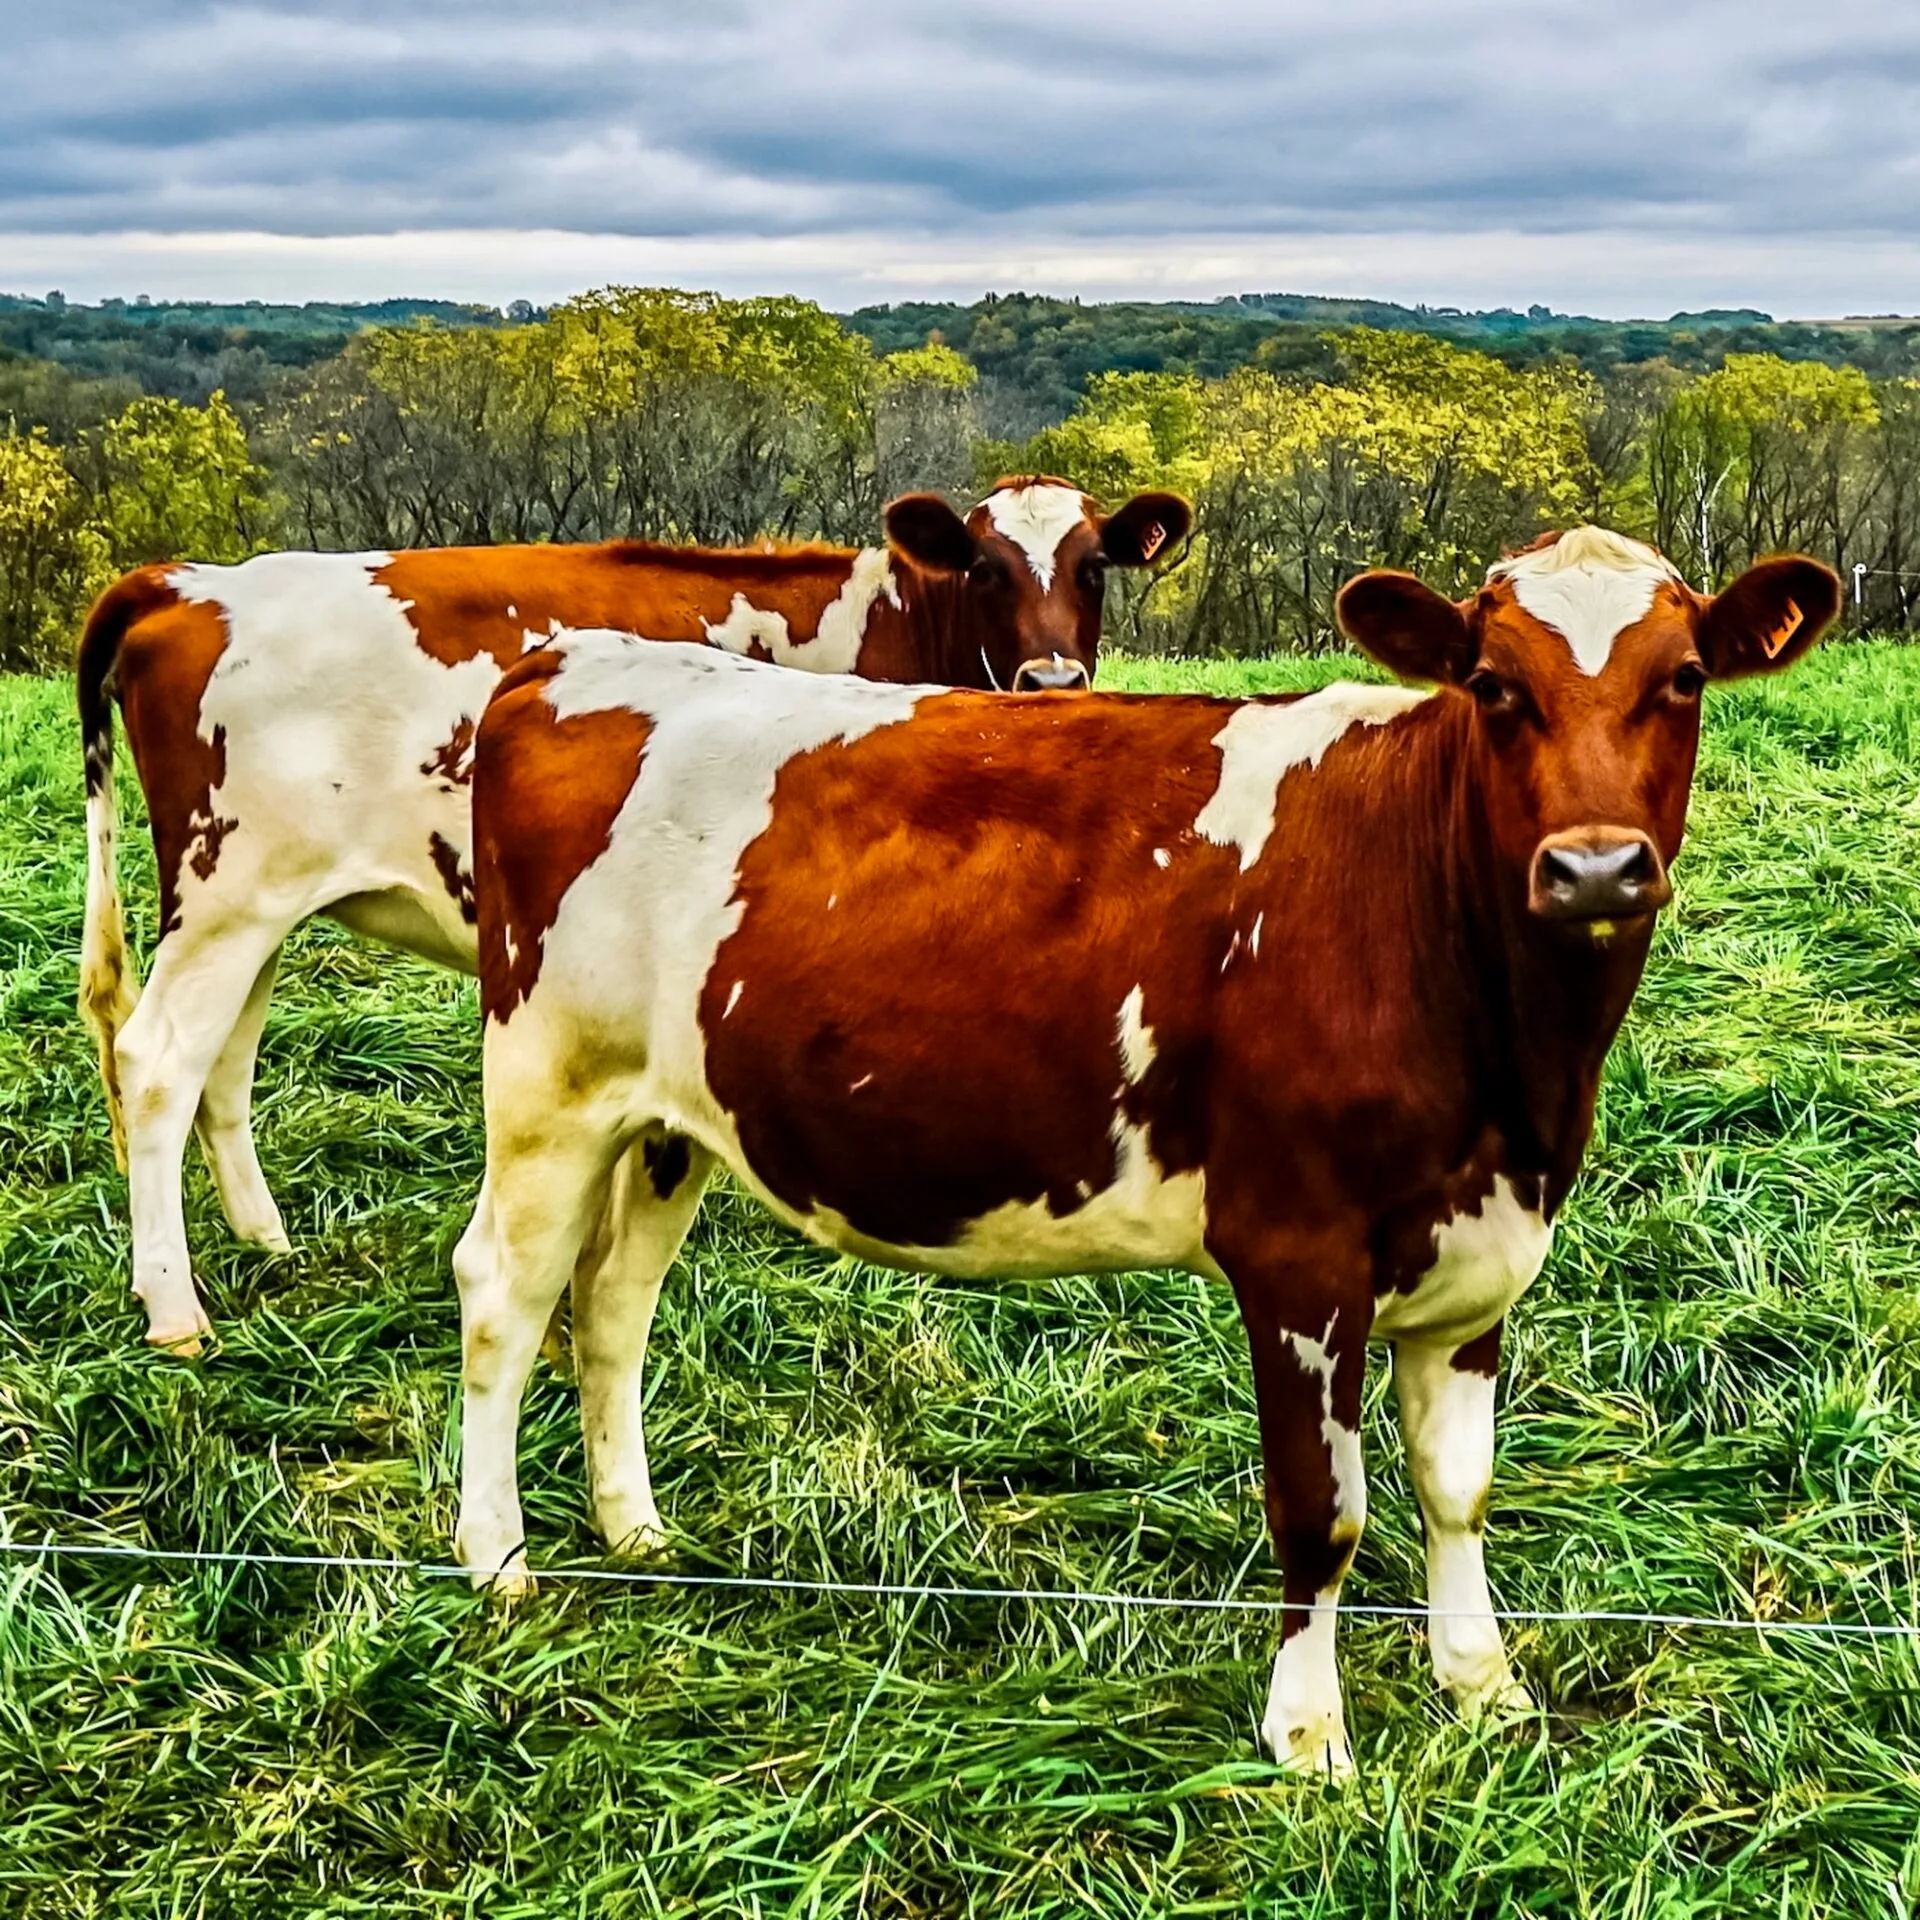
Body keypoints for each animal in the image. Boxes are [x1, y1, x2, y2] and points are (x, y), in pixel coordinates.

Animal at [75, 478, 1191, 1354]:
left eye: (1095, 567)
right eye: (988, 569)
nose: (1054, 678)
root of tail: (189, 584)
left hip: (251, 904)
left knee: (221, 1062)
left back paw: (261, 1238)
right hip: (228, 891)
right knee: (158, 1062)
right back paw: (172, 1309)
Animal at [452, 527, 1837, 1771]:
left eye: (1685, 679)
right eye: (1494, 684)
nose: (1596, 869)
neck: (1515, 1071)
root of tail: (568, 660)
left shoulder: (1480, 1252)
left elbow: (1458, 1485)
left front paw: (1482, 1688)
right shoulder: (1299, 1254)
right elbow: (1322, 1513)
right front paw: (1309, 1739)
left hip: (663, 1117)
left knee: (613, 1303)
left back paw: (634, 1532)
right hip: (547, 1087)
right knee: (502, 1299)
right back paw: (497, 1561)